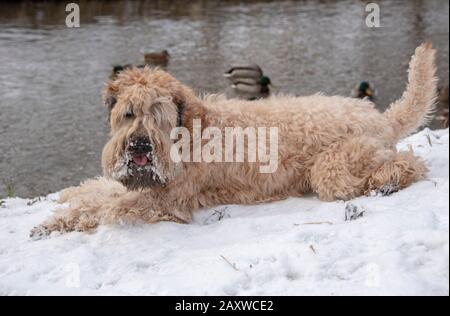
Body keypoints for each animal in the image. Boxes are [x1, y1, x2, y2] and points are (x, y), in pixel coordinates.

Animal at [30, 43, 436, 238]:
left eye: (158, 115)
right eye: (129, 113)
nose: (140, 147)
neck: (190, 130)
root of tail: (379, 116)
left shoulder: (166, 200)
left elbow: (108, 208)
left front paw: (63, 221)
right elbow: (98, 192)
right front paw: (62, 207)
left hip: (334, 167)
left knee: (410, 162)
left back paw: (389, 181)